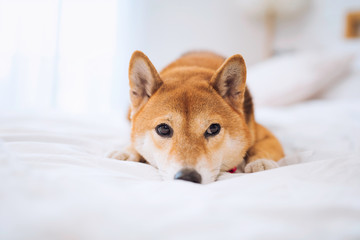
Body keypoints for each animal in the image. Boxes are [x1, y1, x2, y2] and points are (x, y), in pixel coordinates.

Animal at [109, 50, 284, 184]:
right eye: (163, 129)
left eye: (213, 128)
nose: (187, 177)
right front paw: (127, 152)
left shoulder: (265, 135)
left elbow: (261, 147)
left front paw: (260, 161)